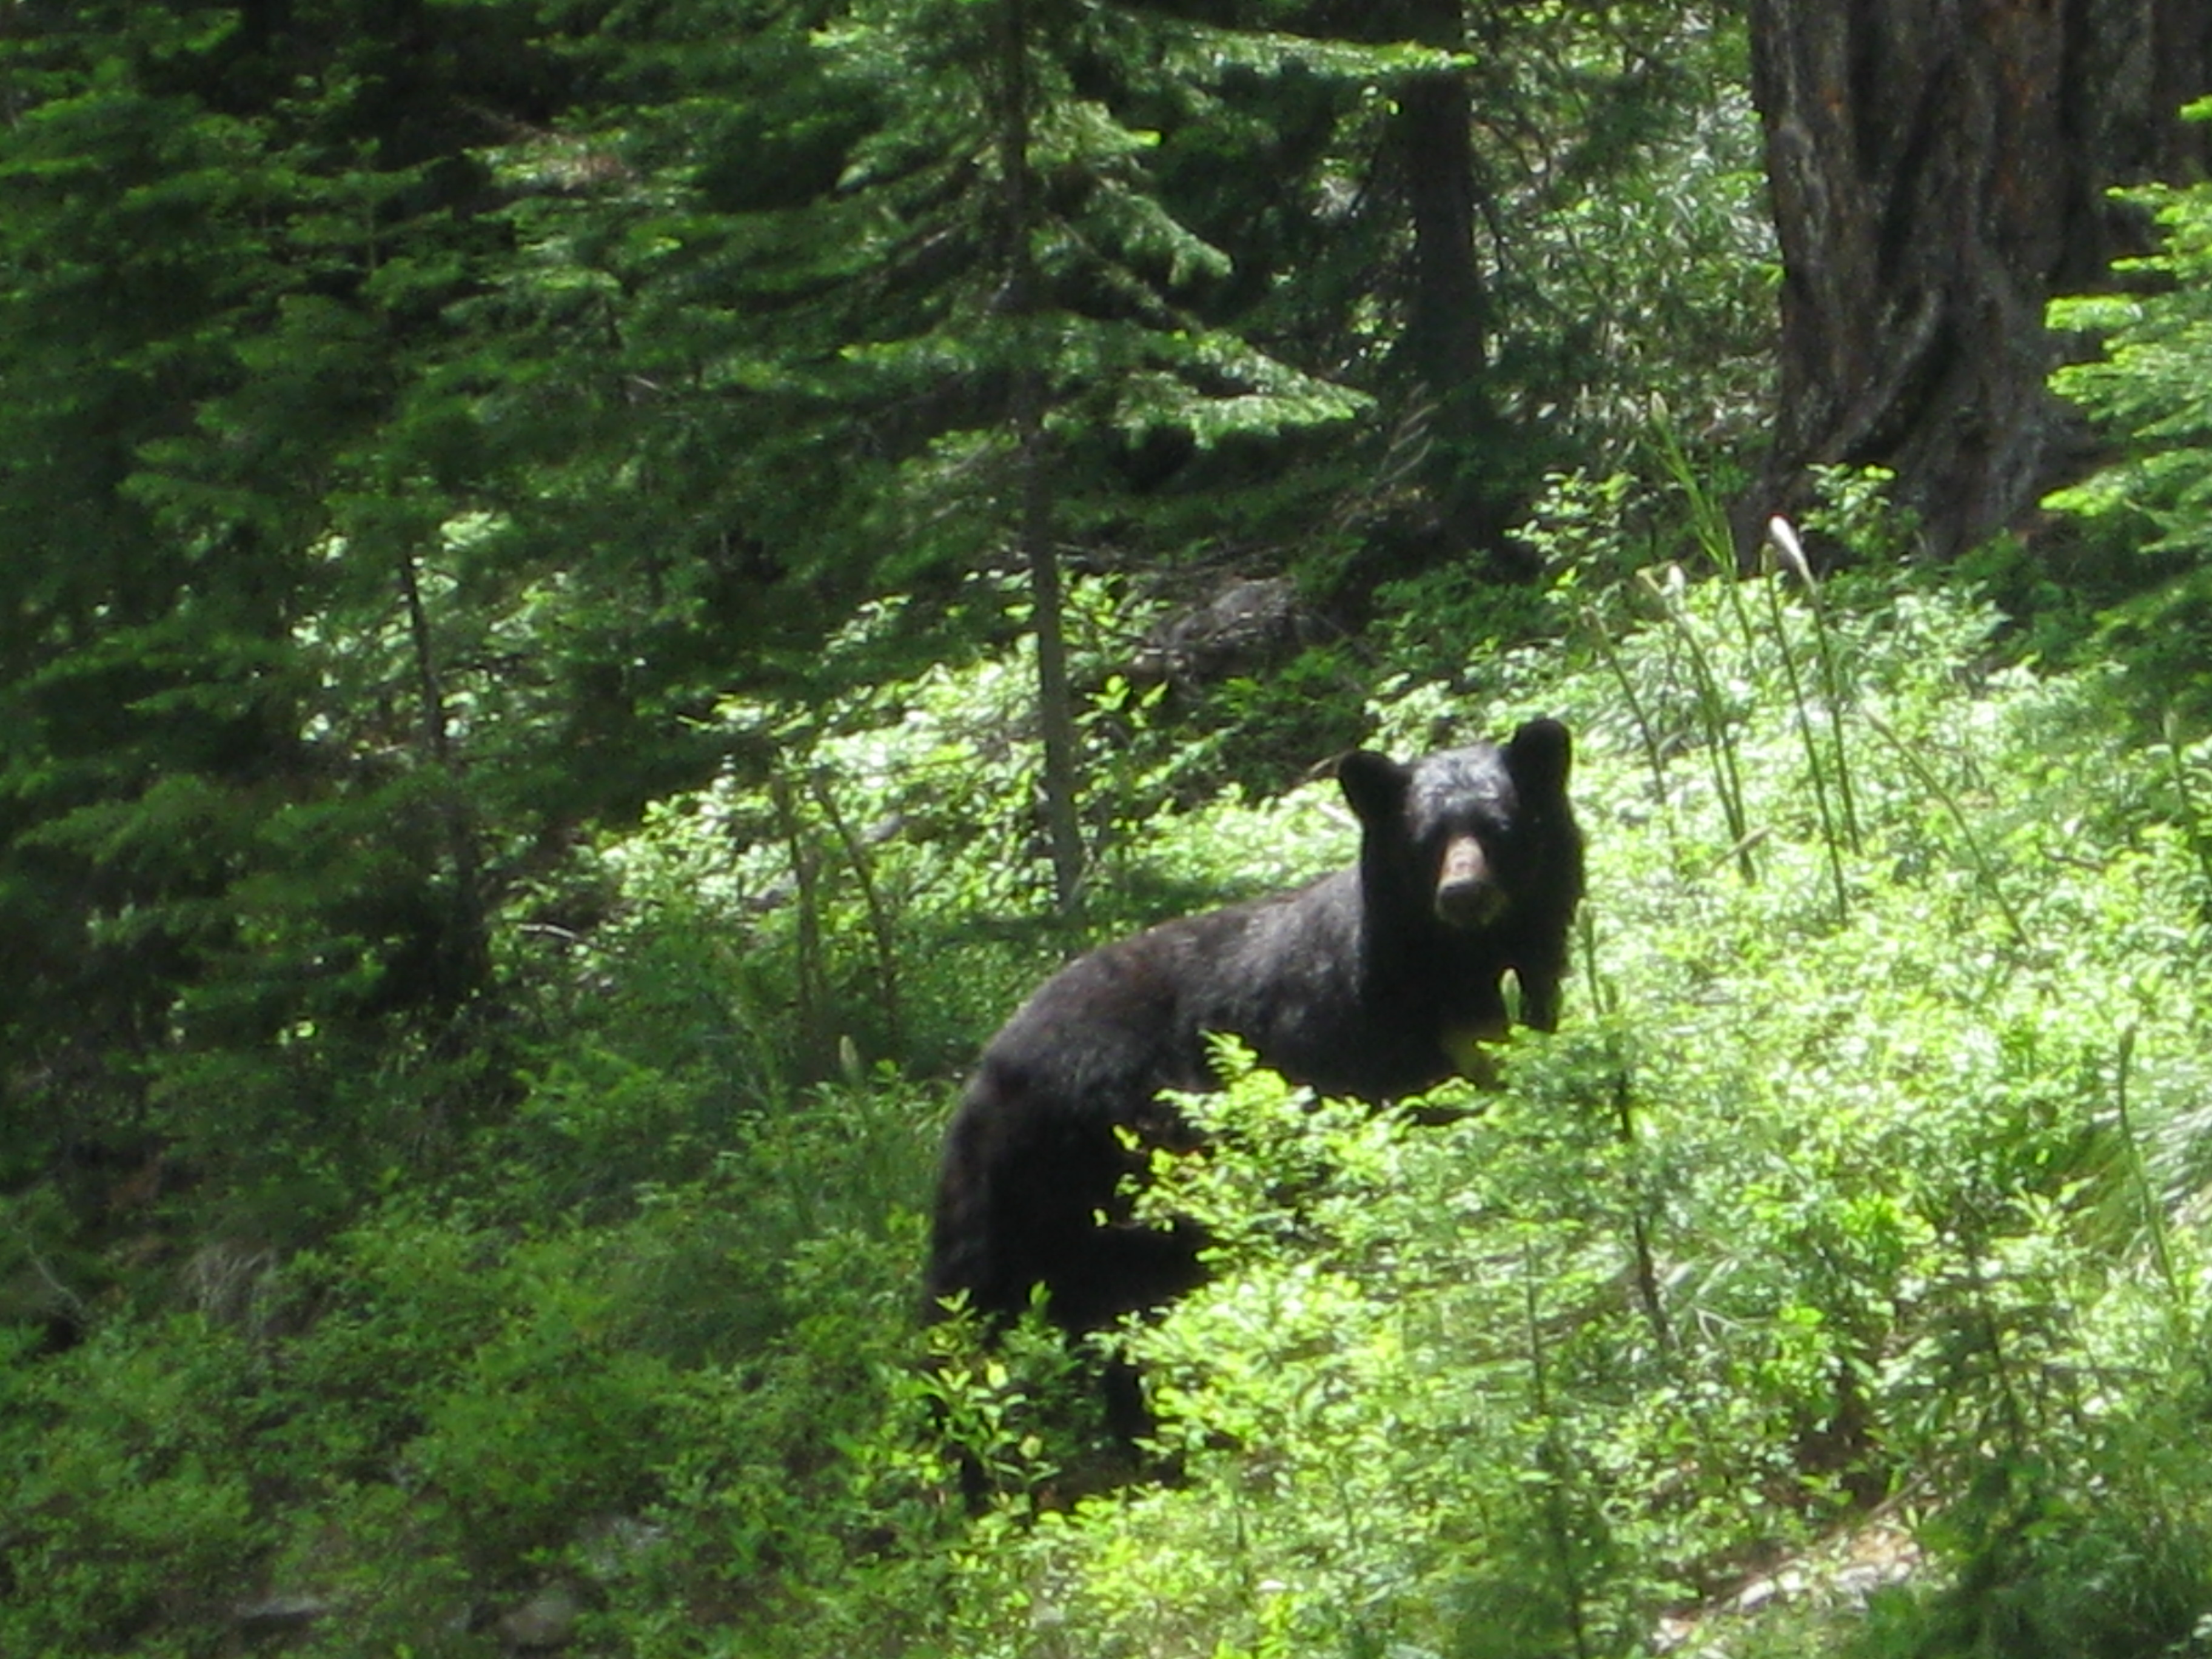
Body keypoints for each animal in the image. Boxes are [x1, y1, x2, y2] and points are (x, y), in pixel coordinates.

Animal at [924, 721, 1583, 1344]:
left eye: (1500, 827)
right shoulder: (1347, 1045)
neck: (1453, 972)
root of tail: (991, 1065)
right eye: (1424, 840)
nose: (1464, 894)